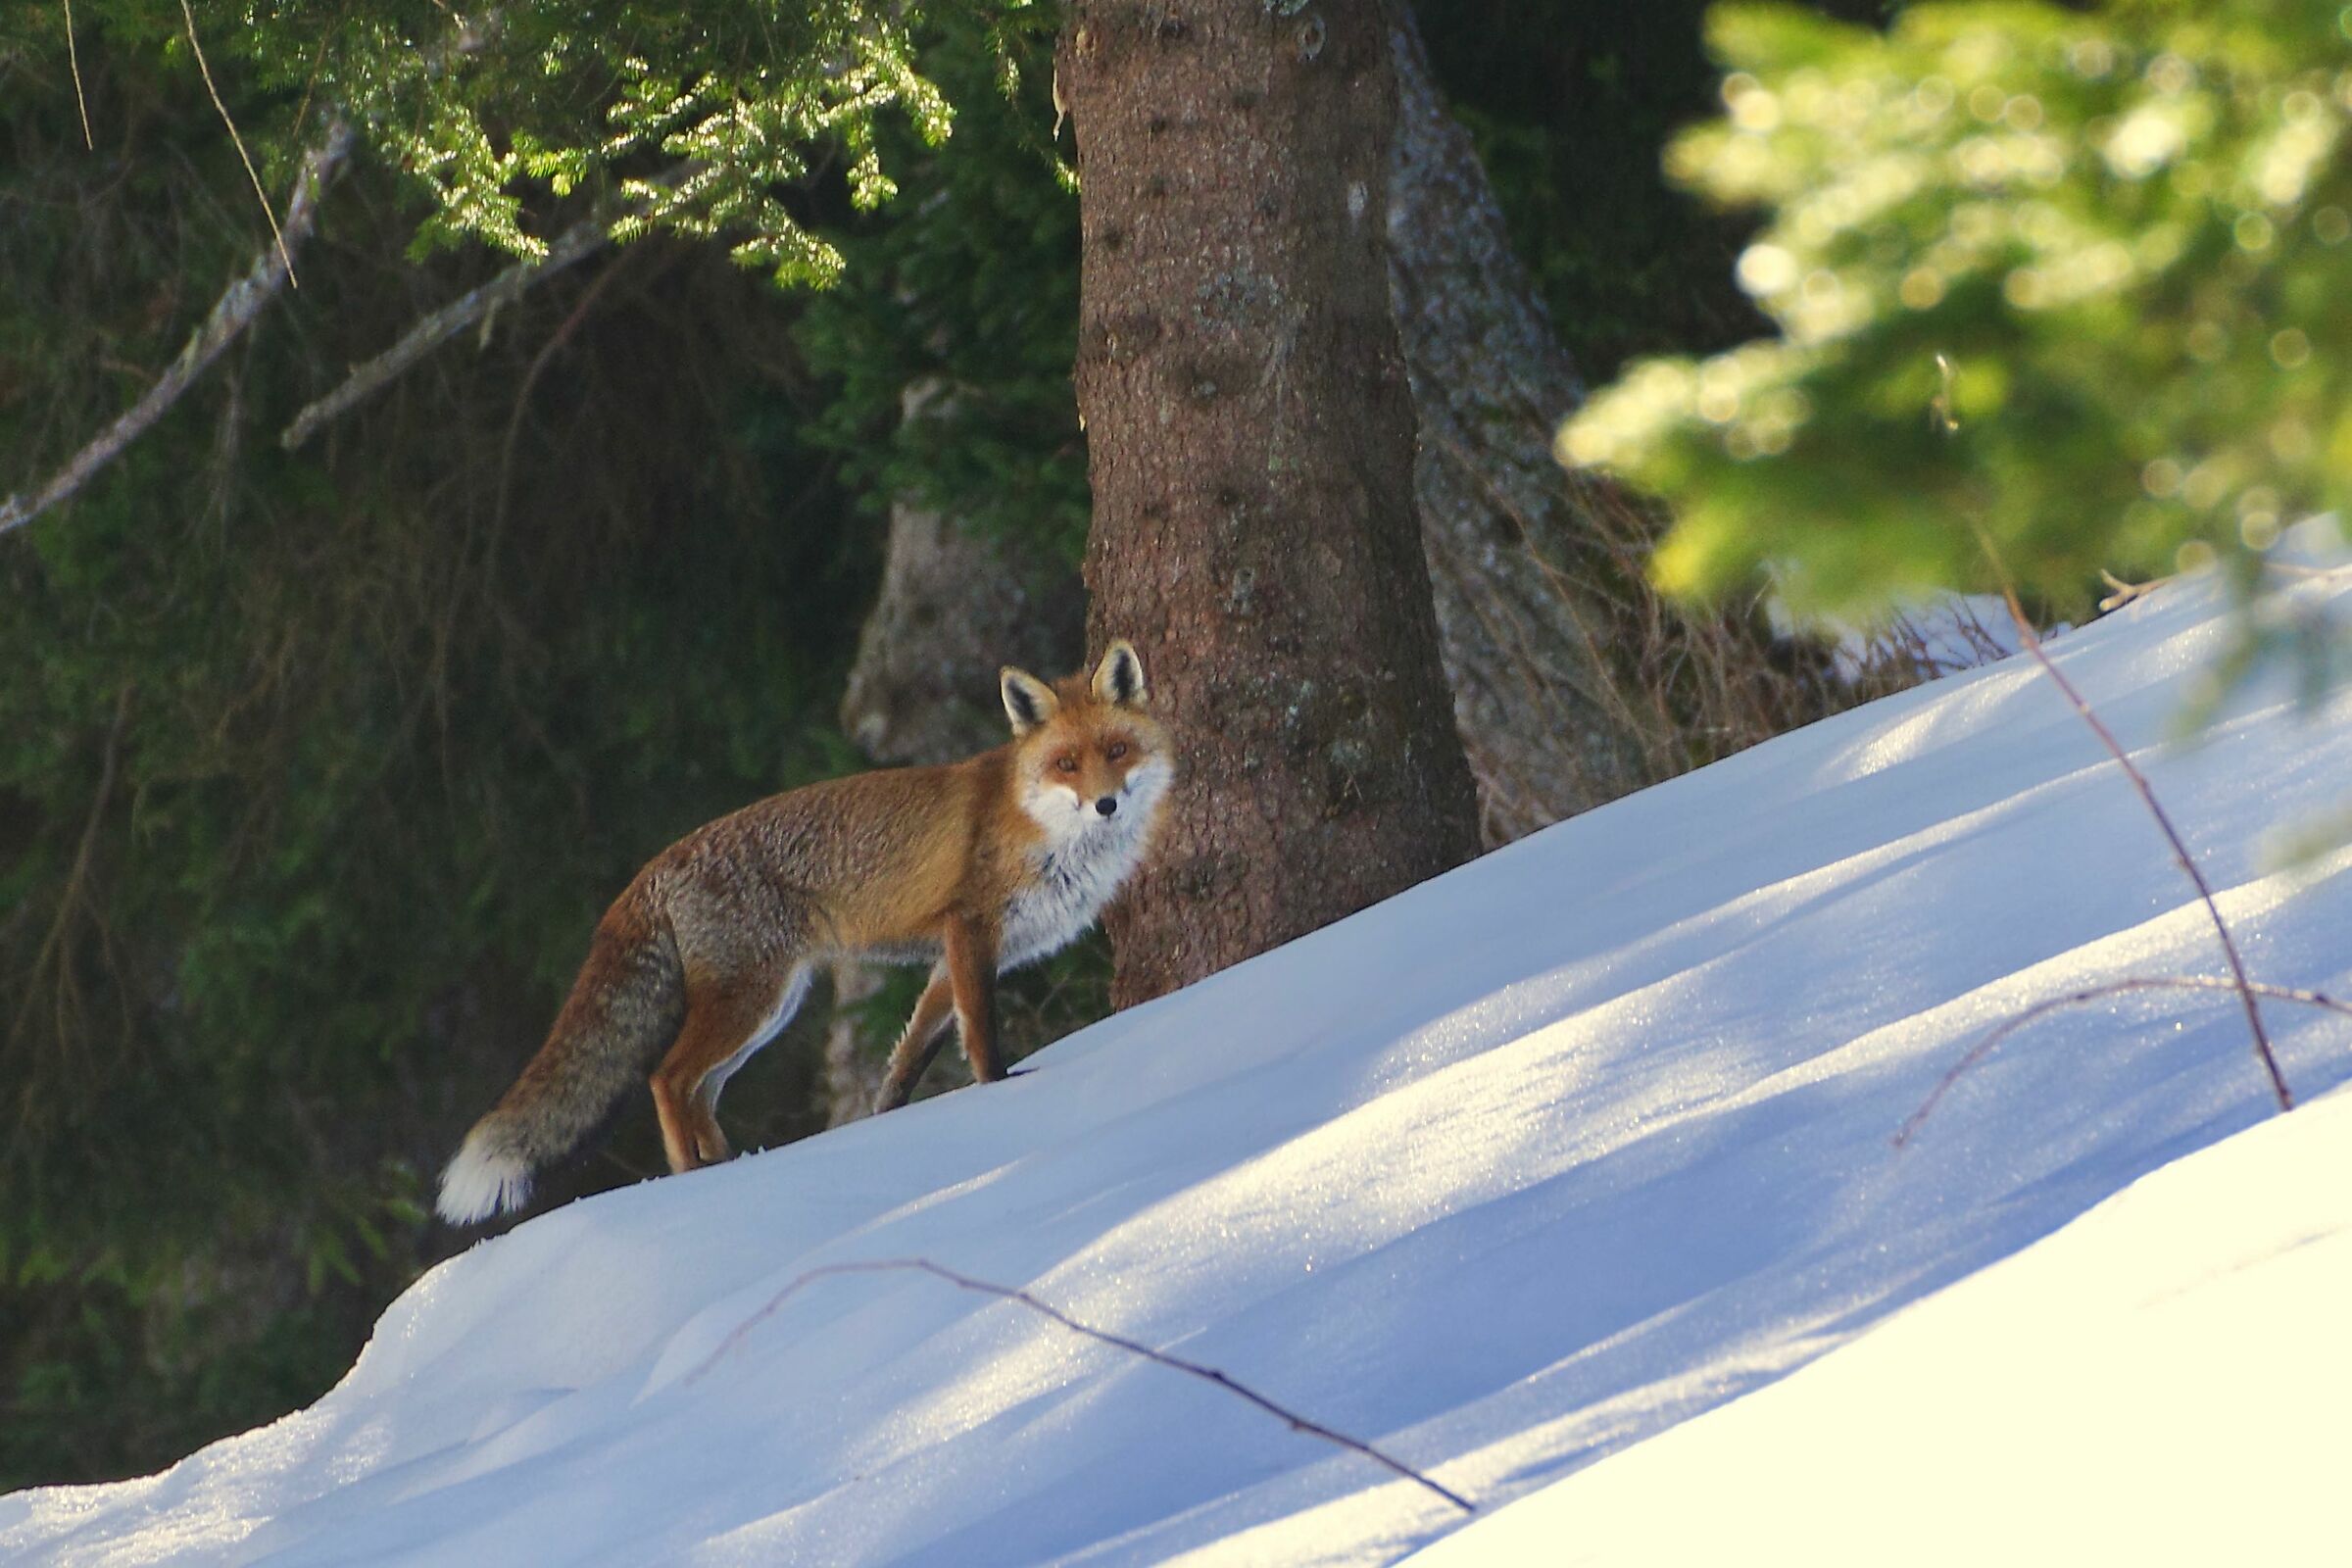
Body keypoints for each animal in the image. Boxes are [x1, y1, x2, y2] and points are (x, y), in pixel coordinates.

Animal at [435, 640, 1173, 1225]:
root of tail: (652, 867)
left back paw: (731, 1164)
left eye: (1116, 751)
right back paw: (690, 1182)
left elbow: (907, 1060)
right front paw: (1003, 1095)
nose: (1107, 803)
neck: (1043, 830)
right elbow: (982, 1040)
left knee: (700, 1090)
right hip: (751, 1000)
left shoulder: (949, 960)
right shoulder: (970, 933)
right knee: (667, 1078)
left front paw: (887, 1122)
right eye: (1067, 764)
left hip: (770, 1008)